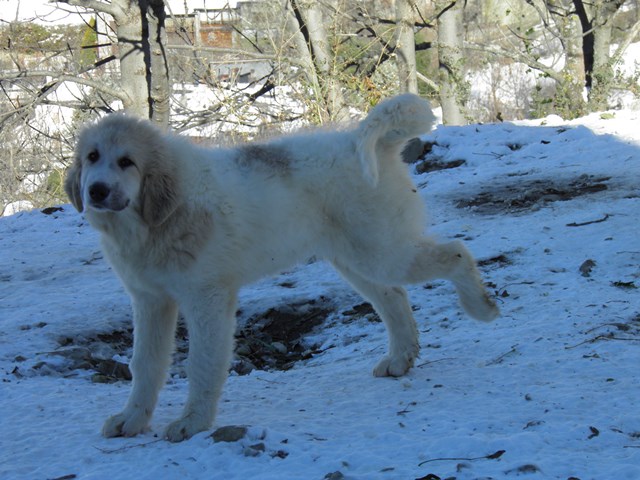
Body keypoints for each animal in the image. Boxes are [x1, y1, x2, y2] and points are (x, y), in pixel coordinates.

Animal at [63, 94, 500, 442]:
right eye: (92, 158)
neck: (156, 220)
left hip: (382, 251)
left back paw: (481, 307)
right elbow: (145, 365)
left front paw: (193, 423)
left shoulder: (206, 298)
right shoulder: (150, 300)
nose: (96, 191)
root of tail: (362, 141)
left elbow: (201, 364)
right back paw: (400, 359)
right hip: (358, 259)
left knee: (456, 253)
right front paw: (132, 420)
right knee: (394, 297)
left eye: (127, 162)